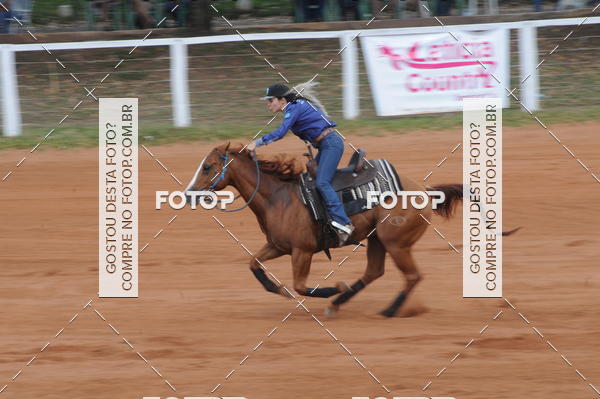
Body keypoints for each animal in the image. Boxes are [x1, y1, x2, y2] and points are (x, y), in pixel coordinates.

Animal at [185, 142, 466, 318]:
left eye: (207, 166)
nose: (189, 194)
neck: (278, 196)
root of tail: (425, 190)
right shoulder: (278, 246)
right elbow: (254, 264)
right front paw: (280, 289)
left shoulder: (303, 250)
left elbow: (301, 286)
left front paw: (336, 286)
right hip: (378, 240)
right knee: (374, 272)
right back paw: (338, 304)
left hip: (396, 243)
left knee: (412, 276)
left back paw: (387, 310)